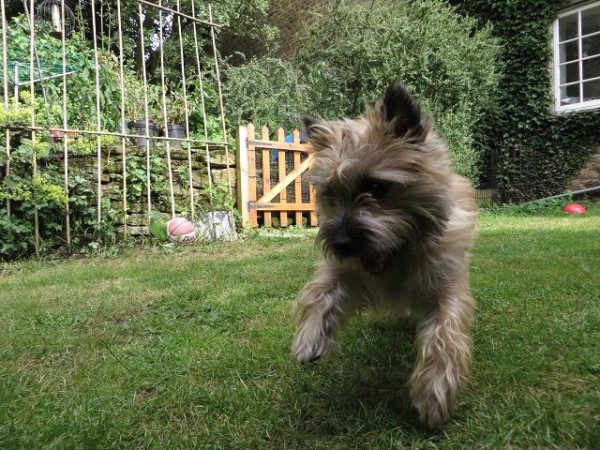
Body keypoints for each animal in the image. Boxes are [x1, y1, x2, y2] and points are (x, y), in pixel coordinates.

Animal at [292, 81, 478, 428]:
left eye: (376, 186)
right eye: (329, 193)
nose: (340, 243)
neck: (397, 257)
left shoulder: (446, 286)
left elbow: (444, 334)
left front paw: (433, 391)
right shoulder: (344, 271)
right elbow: (320, 293)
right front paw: (310, 337)